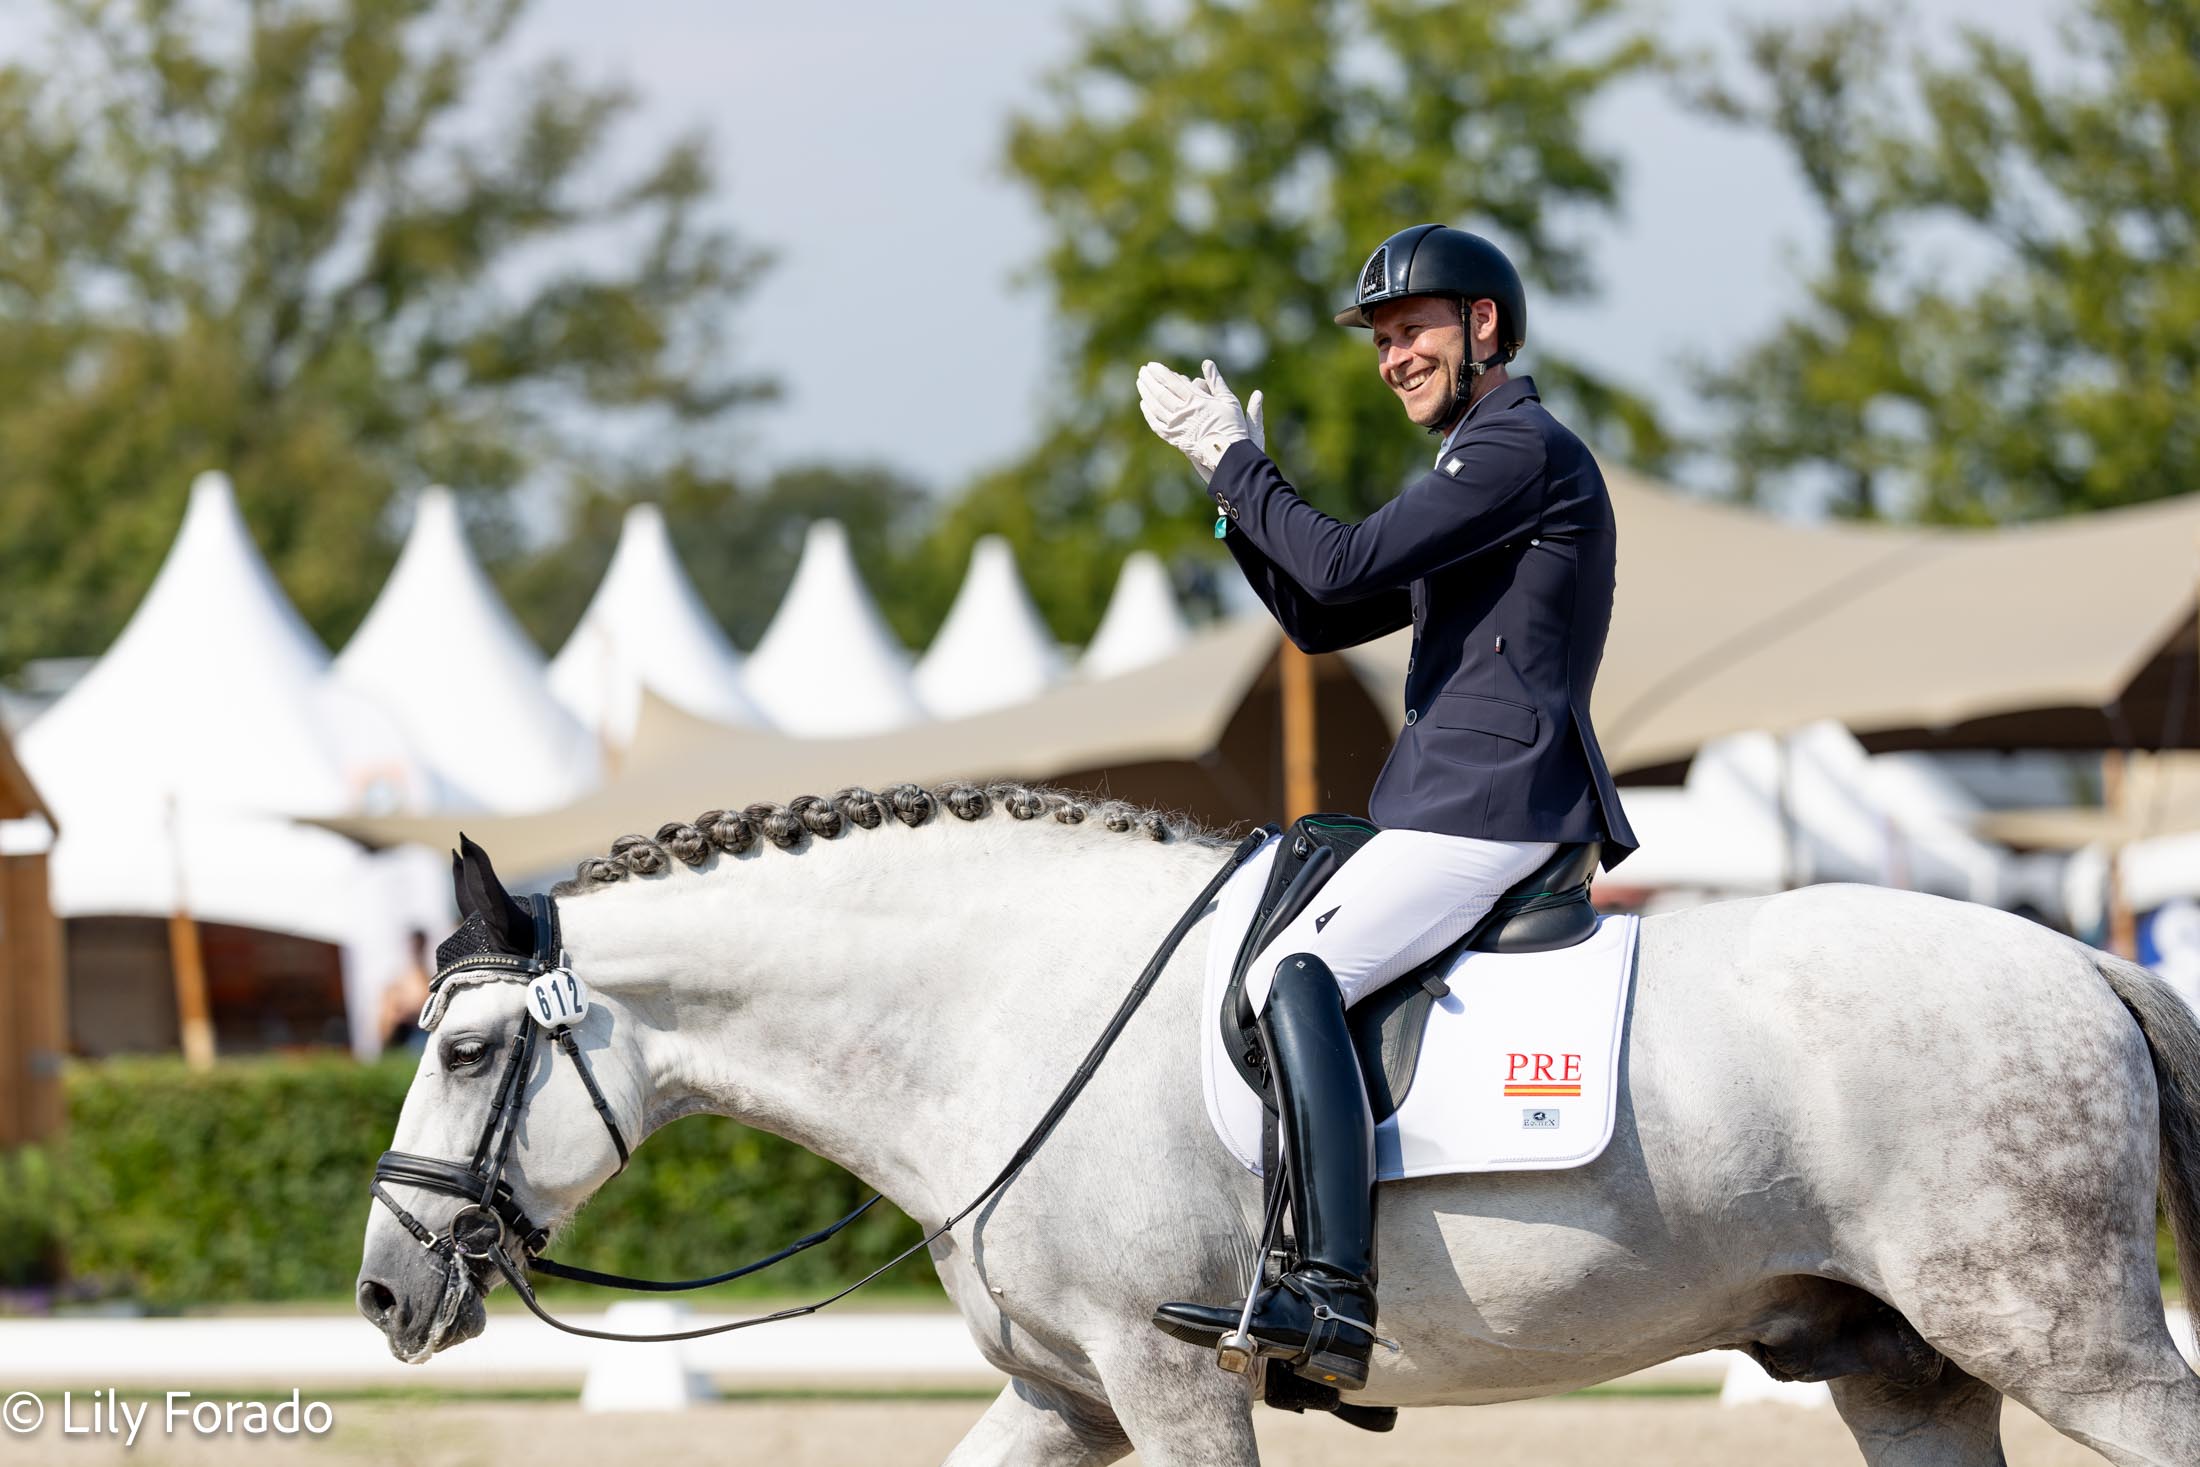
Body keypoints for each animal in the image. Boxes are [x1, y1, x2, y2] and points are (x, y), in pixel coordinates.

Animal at [352, 787, 2200, 1460]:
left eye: (464, 1048)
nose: (383, 1290)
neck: (997, 1003)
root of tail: (2084, 961)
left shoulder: (1173, 1377)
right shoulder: (1066, 1393)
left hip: (2060, 1333)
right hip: (1905, 1364)